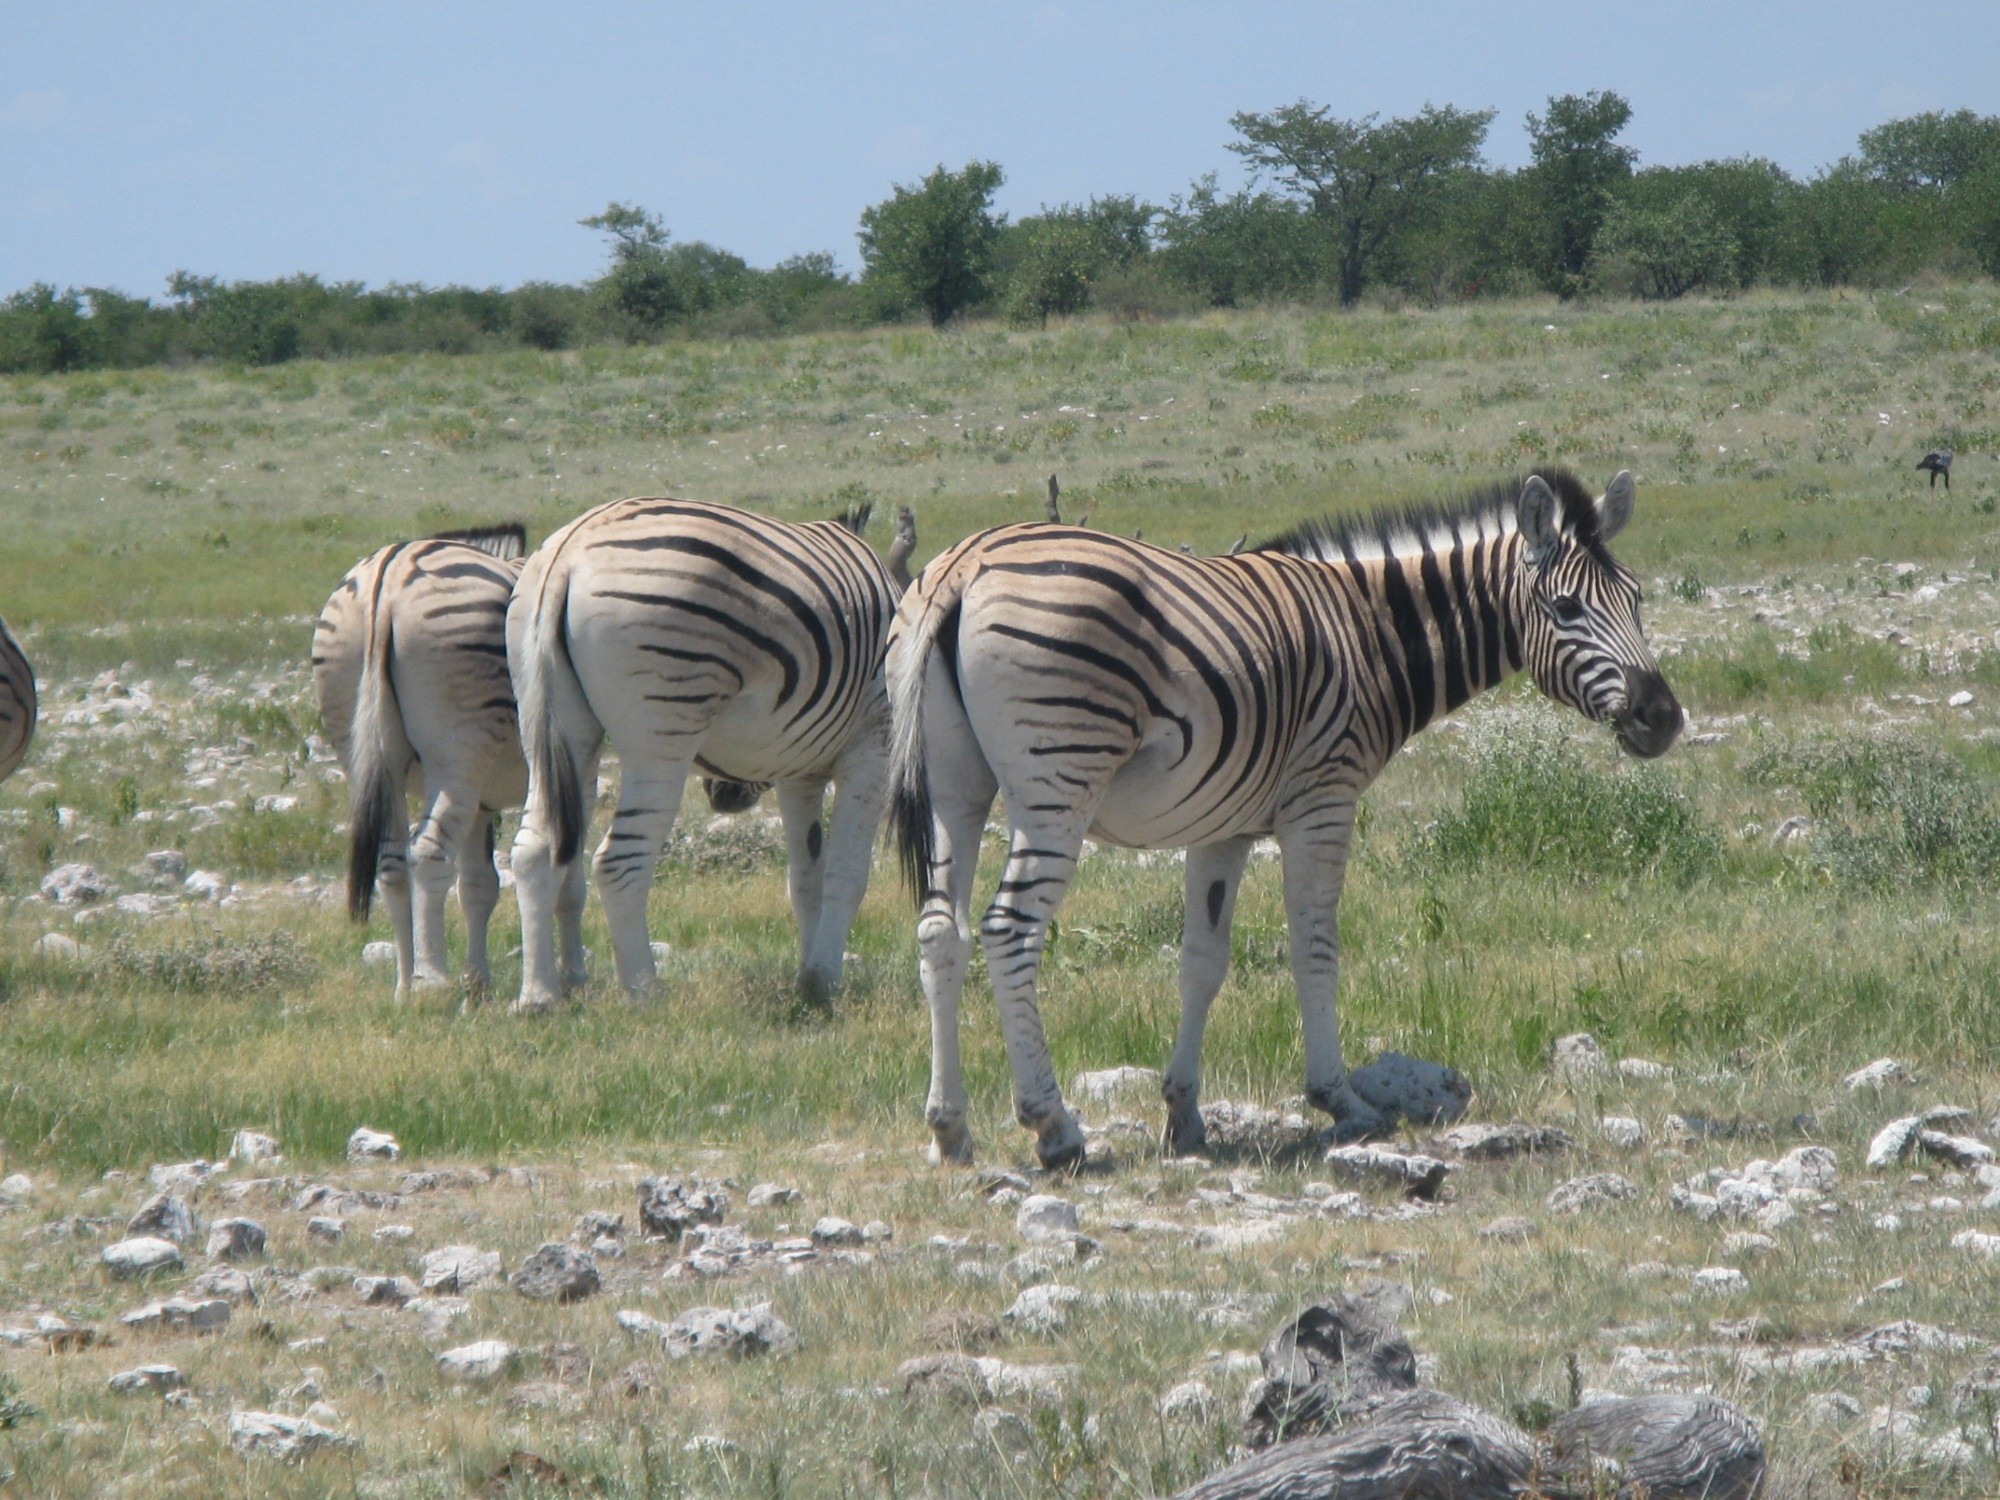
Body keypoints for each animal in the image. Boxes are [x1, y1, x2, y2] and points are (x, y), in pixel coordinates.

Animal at [308, 524, 584, 1004]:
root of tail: (389, 577)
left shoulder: (481, 800)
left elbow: (478, 886)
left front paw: (478, 983)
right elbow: (568, 875)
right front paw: (573, 978)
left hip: (369, 756)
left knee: (393, 863)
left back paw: (406, 986)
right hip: (456, 756)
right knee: (426, 854)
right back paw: (432, 980)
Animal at [504, 500, 904, 1016]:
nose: (723, 794)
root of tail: (569, 551)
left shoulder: (800, 771)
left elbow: (806, 879)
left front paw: (807, 979)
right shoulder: (873, 747)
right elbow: (847, 873)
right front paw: (824, 978)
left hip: (555, 726)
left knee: (536, 848)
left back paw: (539, 996)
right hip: (662, 729)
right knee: (618, 861)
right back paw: (644, 991)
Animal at [884, 470, 1680, 1176]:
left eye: (1638, 599)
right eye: (1568, 608)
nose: (1664, 718)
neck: (1370, 634)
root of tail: (965, 562)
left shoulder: (1222, 824)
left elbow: (1202, 963)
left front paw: (1184, 1112)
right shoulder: (1323, 798)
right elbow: (1314, 947)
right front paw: (1340, 1099)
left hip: (955, 787)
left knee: (941, 932)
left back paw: (949, 1127)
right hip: (1060, 778)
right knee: (1009, 931)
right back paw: (1054, 1126)